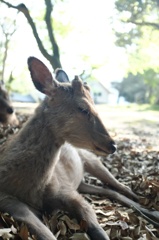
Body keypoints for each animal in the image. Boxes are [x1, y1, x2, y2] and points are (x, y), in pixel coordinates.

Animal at [0, 56, 158, 240]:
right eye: (83, 108)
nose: (113, 145)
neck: (32, 189)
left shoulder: (67, 192)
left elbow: (92, 220)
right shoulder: (7, 199)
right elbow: (42, 231)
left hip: (91, 160)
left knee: (118, 186)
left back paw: (145, 205)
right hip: (80, 181)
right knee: (108, 191)